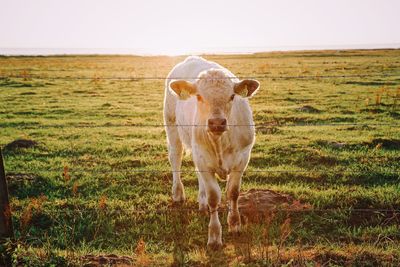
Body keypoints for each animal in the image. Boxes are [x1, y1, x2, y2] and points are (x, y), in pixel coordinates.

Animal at [162, 56, 260, 249]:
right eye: (199, 96)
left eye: (232, 96)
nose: (216, 123)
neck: (220, 141)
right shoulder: (203, 159)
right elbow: (214, 197)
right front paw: (214, 236)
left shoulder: (242, 158)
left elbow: (233, 192)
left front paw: (235, 224)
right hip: (172, 126)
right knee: (175, 157)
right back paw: (178, 194)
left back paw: (201, 200)